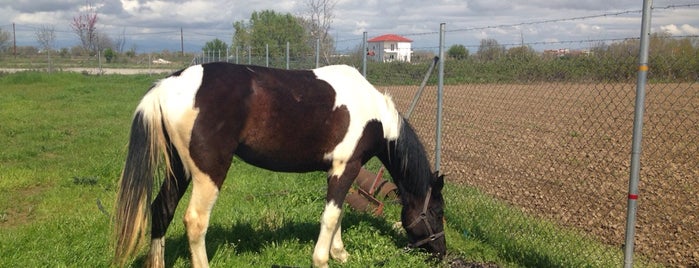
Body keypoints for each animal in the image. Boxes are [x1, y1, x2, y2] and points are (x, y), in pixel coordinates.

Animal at [112, 61, 446, 266]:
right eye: (437, 211)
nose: (440, 252)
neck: (374, 114)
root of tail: (166, 86)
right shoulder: (345, 168)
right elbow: (330, 217)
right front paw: (323, 259)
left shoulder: (338, 172)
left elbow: (337, 214)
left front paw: (340, 254)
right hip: (209, 171)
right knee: (194, 221)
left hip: (179, 168)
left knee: (161, 209)